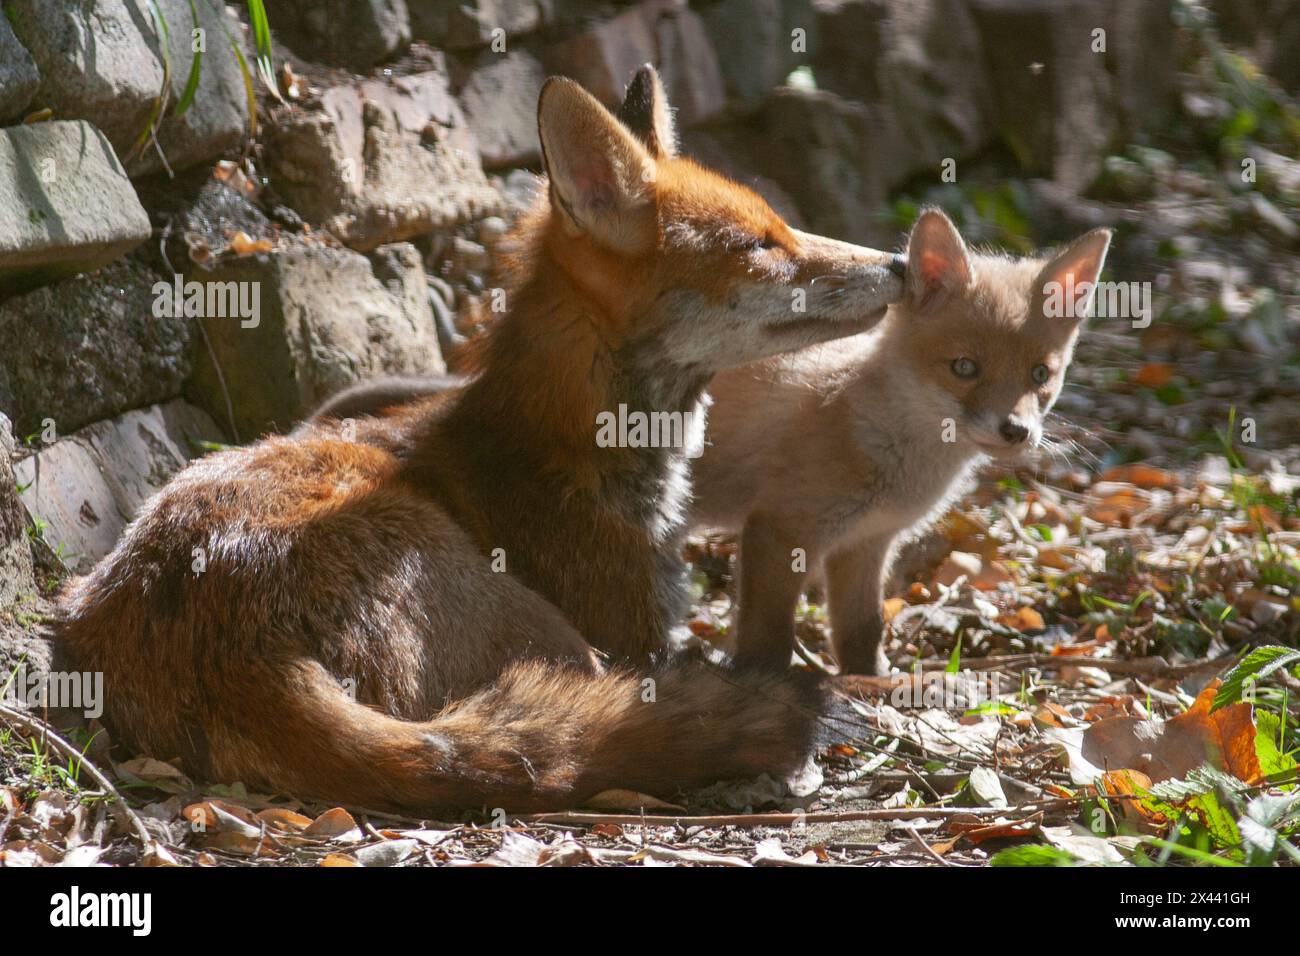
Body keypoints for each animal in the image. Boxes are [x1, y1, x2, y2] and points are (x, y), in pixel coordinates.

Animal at [53, 67, 904, 816]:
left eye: (782, 224)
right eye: (758, 245)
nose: (897, 259)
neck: (569, 447)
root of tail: (230, 641)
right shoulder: (634, 639)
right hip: (541, 627)